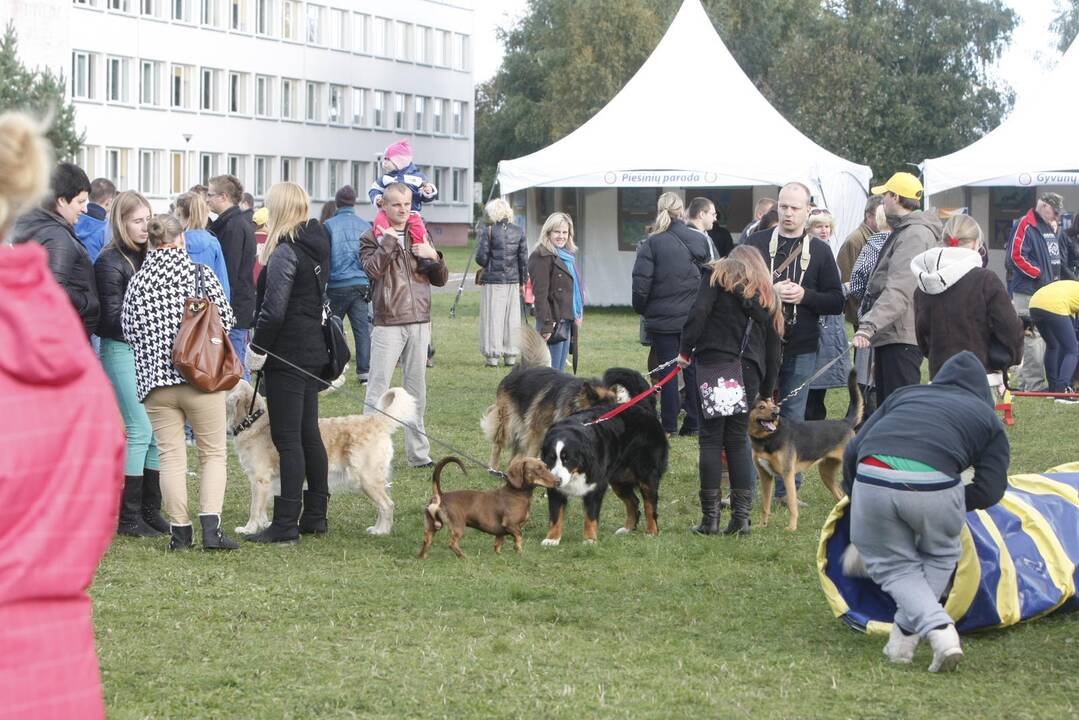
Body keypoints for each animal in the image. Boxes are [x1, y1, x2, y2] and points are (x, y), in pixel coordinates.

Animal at [416, 455, 561, 557]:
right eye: (538, 469)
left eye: (546, 467)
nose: (559, 481)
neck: (516, 494)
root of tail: (440, 496)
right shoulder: (511, 525)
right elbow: (519, 537)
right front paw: (519, 552)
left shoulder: (500, 533)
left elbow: (498, 546)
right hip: (458, 526)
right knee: (452, 544)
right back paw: (464, 556)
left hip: (432, 526)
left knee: (427, 541)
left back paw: (422, 557)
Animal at [750, 369, 858, 533]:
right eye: (761, 407)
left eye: (774, 406)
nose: (776, 413)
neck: (768, 438)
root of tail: (845, 422)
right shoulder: (765, 476)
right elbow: (765, 506)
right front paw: (762, 525)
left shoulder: (787, 474)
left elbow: (792, 504)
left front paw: (792, 528)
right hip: (826, 473)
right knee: (840, 496)